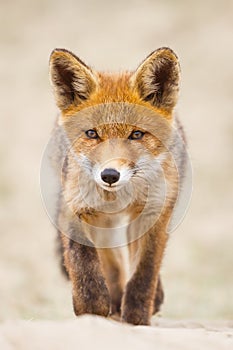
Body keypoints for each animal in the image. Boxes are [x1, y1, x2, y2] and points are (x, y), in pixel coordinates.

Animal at [48, 47, 187, 326]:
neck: (119, 197)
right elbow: (84, 265)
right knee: (112, 264)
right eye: (92, 134)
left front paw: (136, 317)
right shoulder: (75, 207)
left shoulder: (154, 214)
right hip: (103, 223)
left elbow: (144, 273)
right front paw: (92, 309)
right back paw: (112, 302)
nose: (110, 175)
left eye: (136, 135)